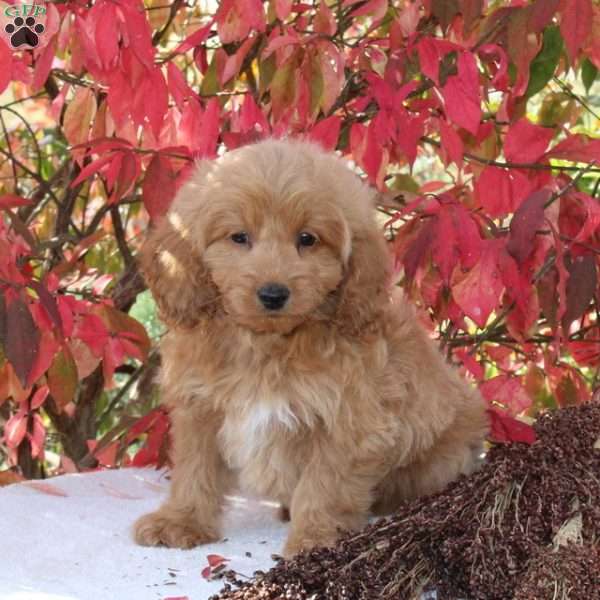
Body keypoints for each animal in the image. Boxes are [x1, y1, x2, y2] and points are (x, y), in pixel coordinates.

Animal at [131, 138, 488, 556]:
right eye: (239, 237)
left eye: (308, 239)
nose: (273, 294)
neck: (265, 345)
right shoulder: (200, 408)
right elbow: (194, 469)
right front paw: (181, 520)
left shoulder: (348, 420)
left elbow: (325, 483)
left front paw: (316, 538)